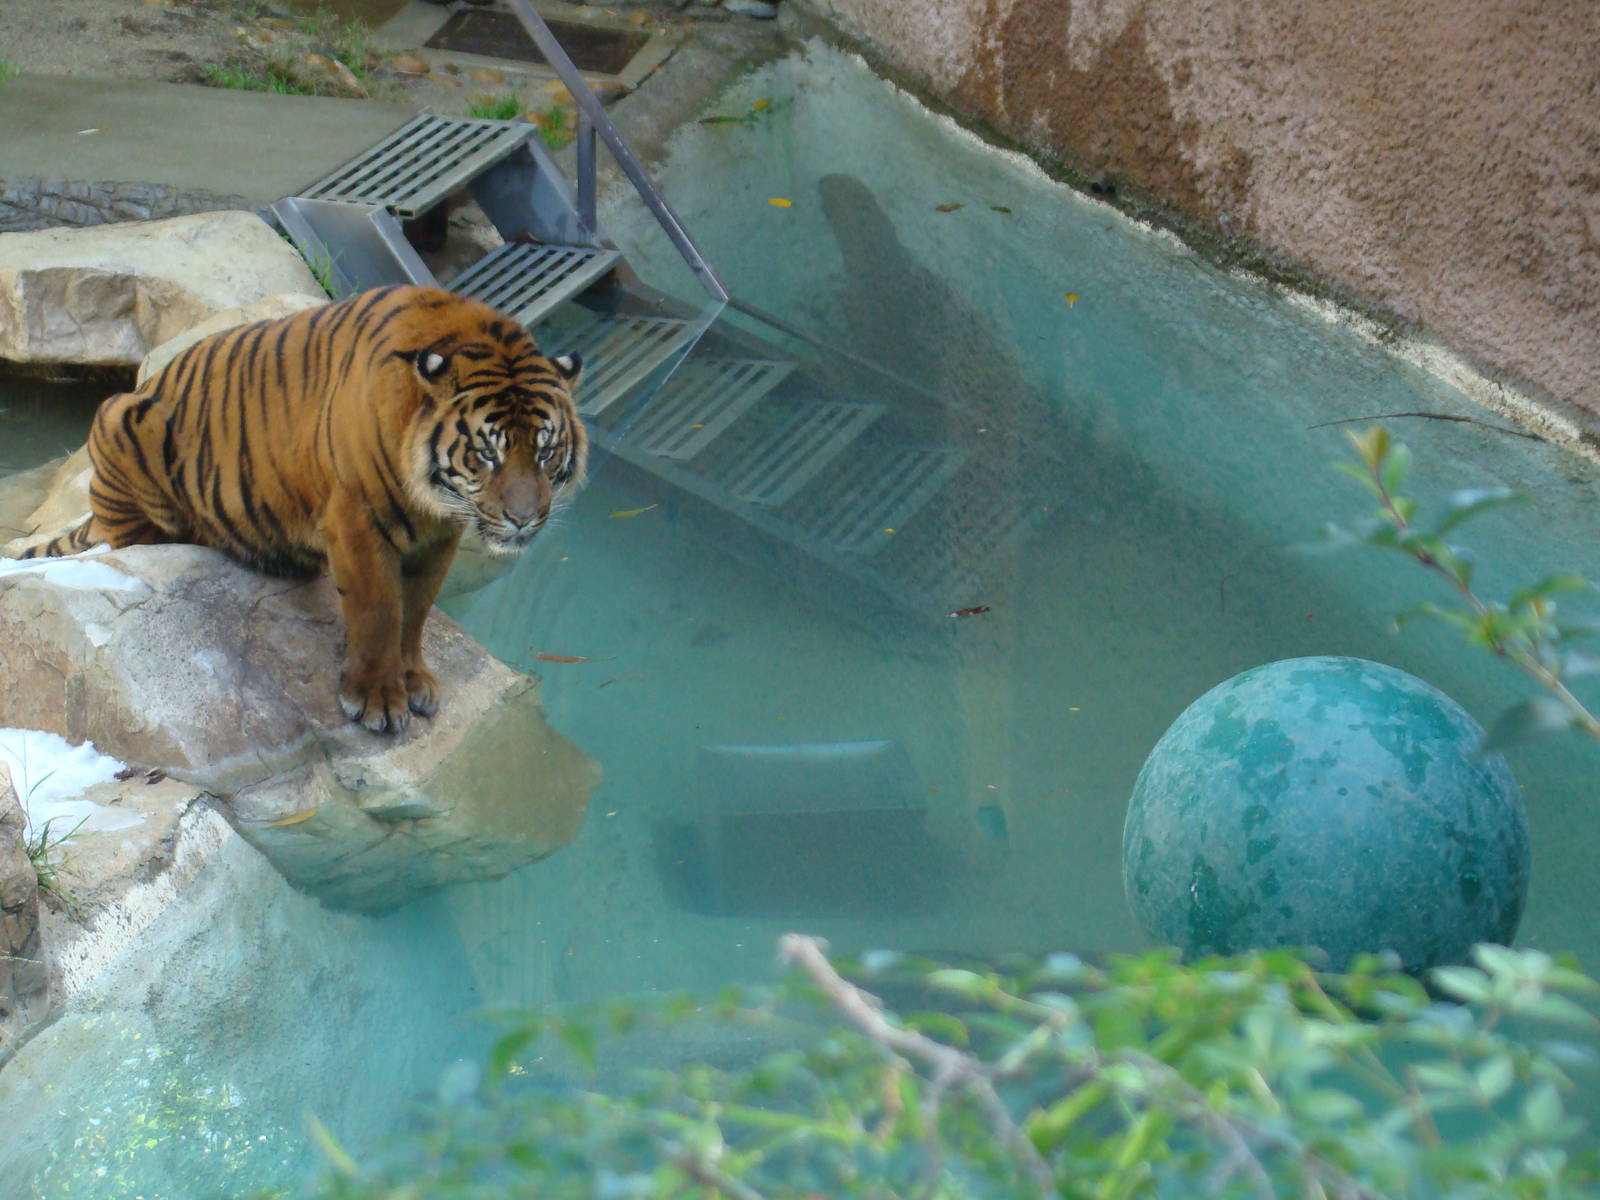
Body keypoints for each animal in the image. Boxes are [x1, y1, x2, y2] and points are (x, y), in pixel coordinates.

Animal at [18, 284, 587, 734]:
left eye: (544, 451)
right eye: (488, 453)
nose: (523, 519)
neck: (435, 499)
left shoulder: (440, 534)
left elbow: (417, 607)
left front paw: (414, 680)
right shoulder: (357, 518)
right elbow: (379, 610)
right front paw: (379, 701)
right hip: (121, 417)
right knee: (134, 535)